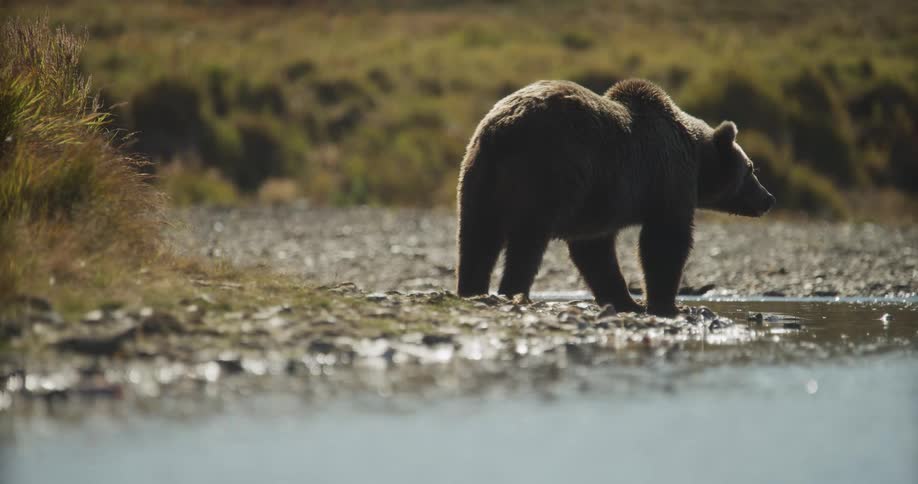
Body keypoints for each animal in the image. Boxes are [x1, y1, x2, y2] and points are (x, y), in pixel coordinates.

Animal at [455, 78, 775, 316]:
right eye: (751, 169)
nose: (768, 198)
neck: (696, 161)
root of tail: (503, 127)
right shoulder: (667, 179)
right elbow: (666, 241)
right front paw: (666, 304)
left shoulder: (598, 202)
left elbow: (594, 252)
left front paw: (626, 301)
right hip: (548, 171)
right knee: (527, 239)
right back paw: (515, 293)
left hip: (479, 174)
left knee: (477, 237)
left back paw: (472, 290)